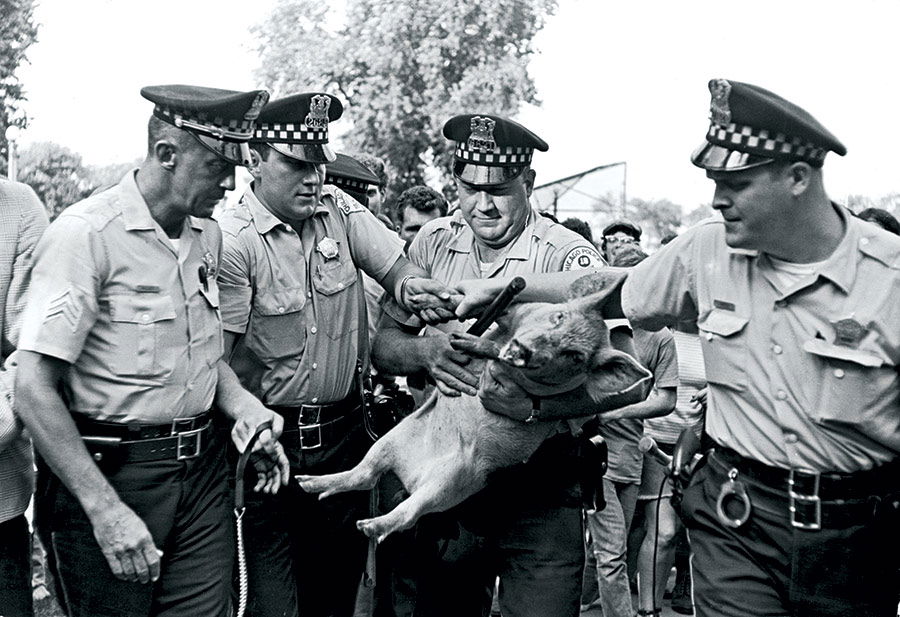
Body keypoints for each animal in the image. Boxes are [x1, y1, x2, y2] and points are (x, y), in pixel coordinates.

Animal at [296, 282, 648, 540]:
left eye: (575, 355)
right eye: (558, 316)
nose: (524, 350)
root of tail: (412, 475)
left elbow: (499, 358)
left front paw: (473, 346)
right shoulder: (514, 313)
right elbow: (483, 309)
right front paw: (444, 308)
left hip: (452, 480)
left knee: (406, 512)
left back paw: (367, 526)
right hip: (391, 439)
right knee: (363, 473)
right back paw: (307, 484)